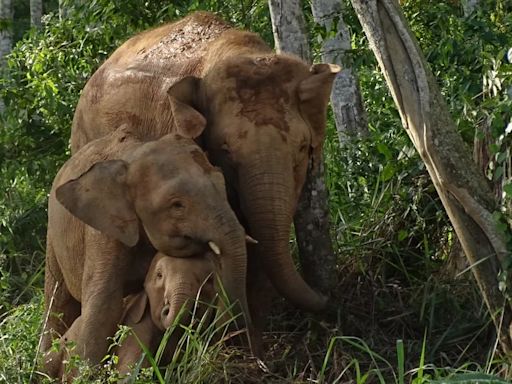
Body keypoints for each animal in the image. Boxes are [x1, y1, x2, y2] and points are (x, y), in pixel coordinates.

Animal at [44, 125, 252, 366]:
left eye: (223, 188)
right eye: (177, 205)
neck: (133, 157)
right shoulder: (103, 230)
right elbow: (103, 303)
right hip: (52, 238)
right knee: (57, 302)